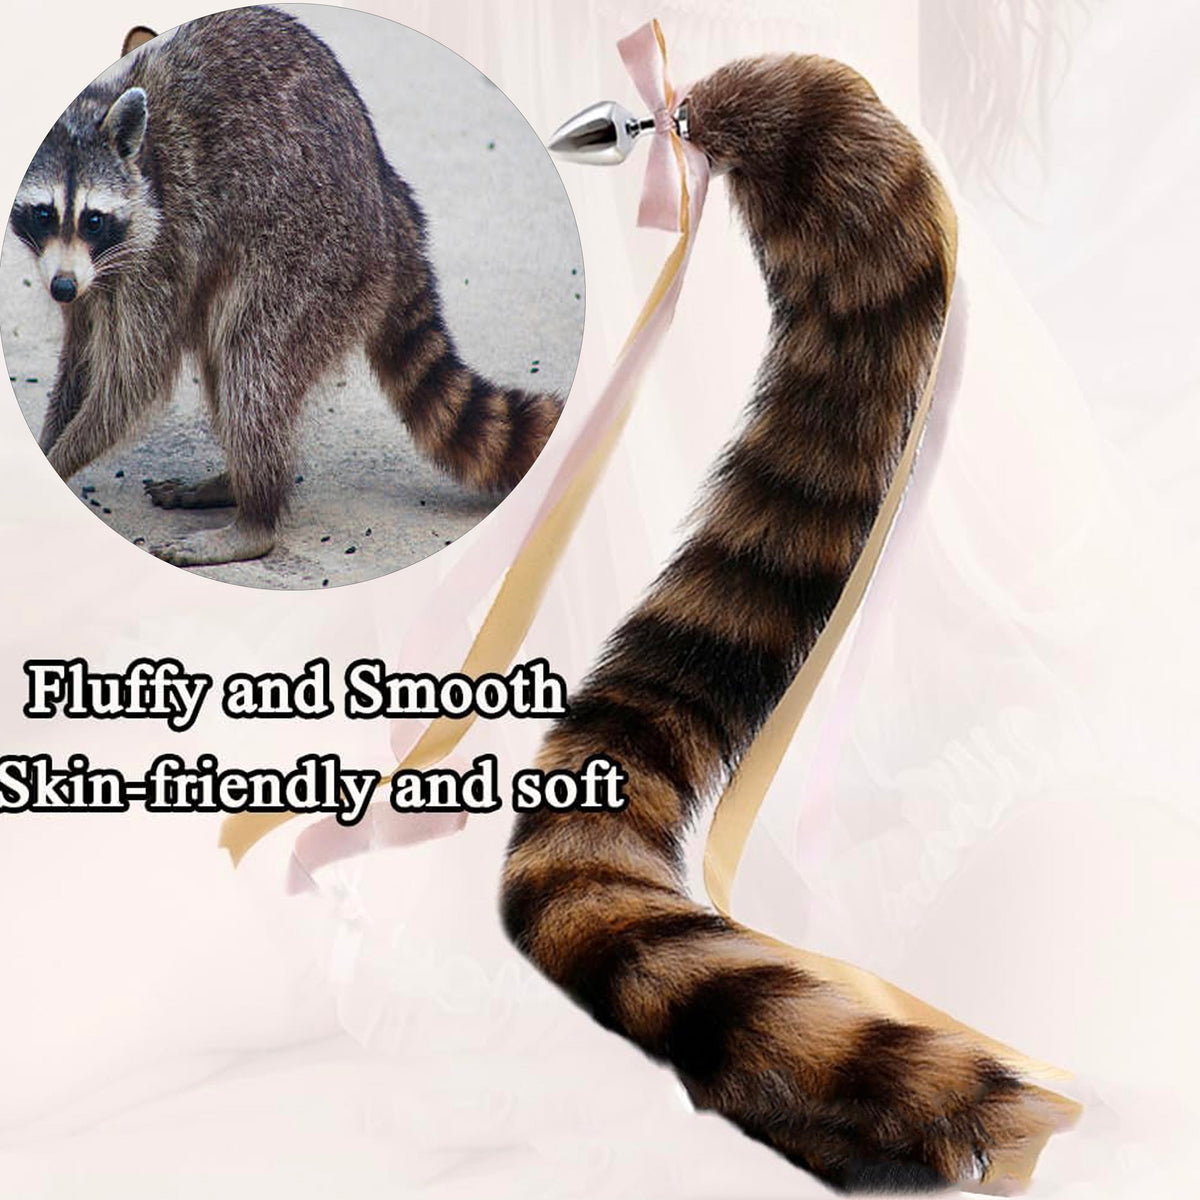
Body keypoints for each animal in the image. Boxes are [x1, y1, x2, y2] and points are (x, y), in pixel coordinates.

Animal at [8, 6, 563, 567]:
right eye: (43, 213)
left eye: (93, 219)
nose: (62, 287)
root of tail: (392, 205)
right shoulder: (91, 281)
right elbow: (82, 360)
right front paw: (51, 439)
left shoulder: (164, 252)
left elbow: (132, 379)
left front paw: (61, 457)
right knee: (226, 365)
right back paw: (232, 483)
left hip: (315, 260)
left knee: (250, 364)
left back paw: (254, 517)